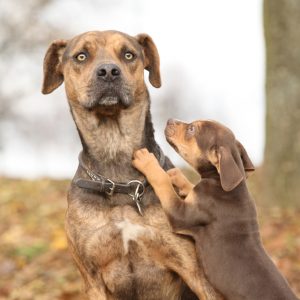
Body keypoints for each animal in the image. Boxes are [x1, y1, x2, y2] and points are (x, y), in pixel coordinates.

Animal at [133, 119, 298, 300]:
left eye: (192, 129)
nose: (170, 121)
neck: (220, 182)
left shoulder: (180, 214)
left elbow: (163, 184)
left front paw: (149, 162)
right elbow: (191, 187)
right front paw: (175, 175)